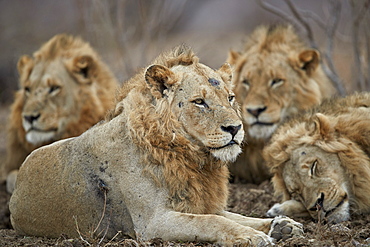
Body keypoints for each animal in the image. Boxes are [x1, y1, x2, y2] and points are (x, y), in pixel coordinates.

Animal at [9, 45, 304, 245]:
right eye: (199, 102)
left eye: (230, 98)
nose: (235, 128)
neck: (192, 157)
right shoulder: (152, 222)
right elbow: (213, 222)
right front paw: (251, 236)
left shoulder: (201, 203)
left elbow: (234, 216)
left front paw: (282, 226)